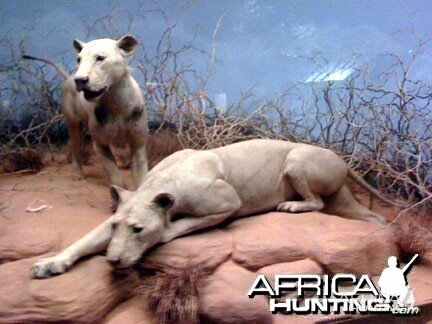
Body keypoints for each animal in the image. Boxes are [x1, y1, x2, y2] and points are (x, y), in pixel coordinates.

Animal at [30, 139, 396, 278]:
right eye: (116, 227)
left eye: (139, 230)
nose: (114, 261)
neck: (158, 184)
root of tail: (343, 161)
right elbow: (82, 242)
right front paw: (49, 264)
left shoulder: (227, 201)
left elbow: (178, 226)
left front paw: (165, 231)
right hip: (344, 202)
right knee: (371, 216)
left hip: (297, 161)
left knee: (317, 202)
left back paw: (291, 204)